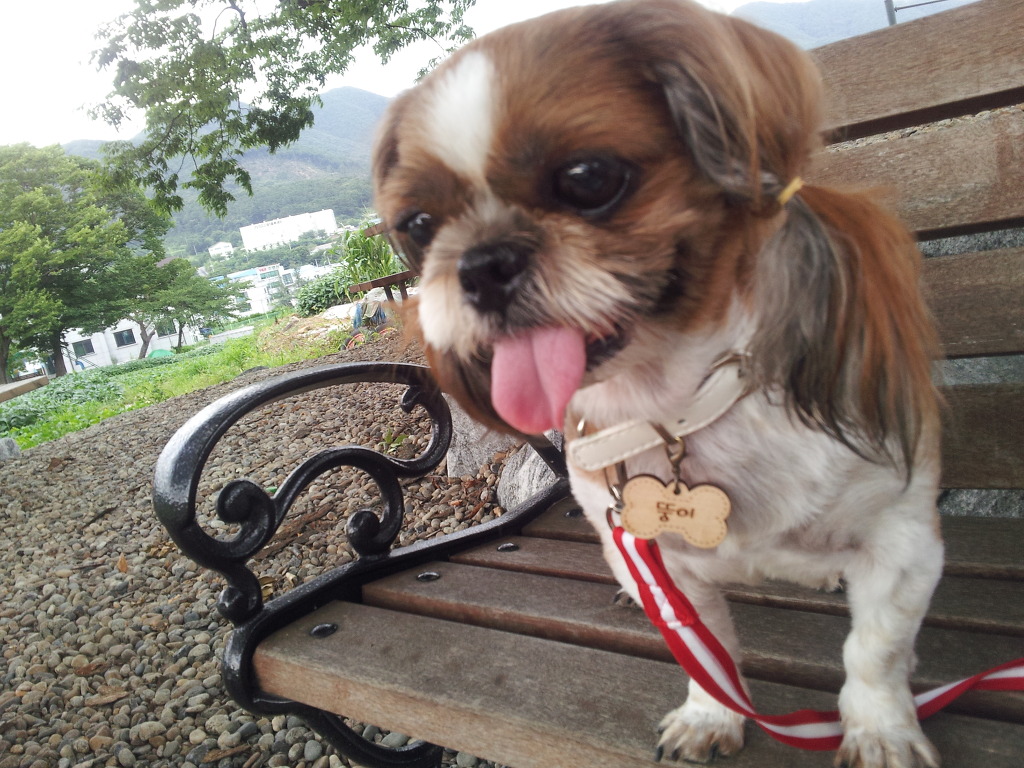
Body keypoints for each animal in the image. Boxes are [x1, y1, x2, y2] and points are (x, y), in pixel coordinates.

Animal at [371, 1, 944, 765]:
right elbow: (707, 652)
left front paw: (880, 729)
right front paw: (712, 715)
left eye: (588, 176)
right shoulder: (654, 561)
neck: (676, 408)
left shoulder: (902, 540)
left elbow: (874, 651)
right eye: (419, 225)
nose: (483, 263)